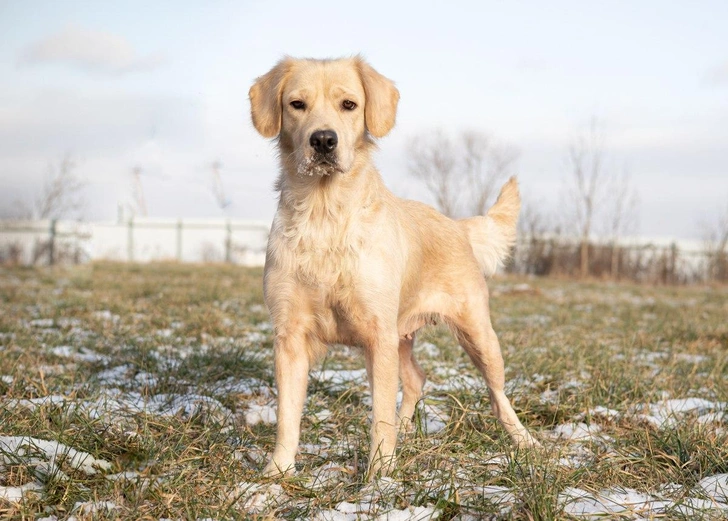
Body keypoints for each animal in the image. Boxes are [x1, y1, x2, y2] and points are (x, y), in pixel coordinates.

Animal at [250, 55, 540, 476]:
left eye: (349, 105)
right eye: (297, 104)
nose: (323, 140)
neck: (325, 213)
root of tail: (457, 225)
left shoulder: (377, 334)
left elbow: (380, 417)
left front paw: (379, 476)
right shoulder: (290, 336)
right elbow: (288, 417)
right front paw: (276, 474)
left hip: (477, 334)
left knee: (497, 393)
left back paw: (525, 441)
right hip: (401, 334)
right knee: (417, 378)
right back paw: (407, 429)